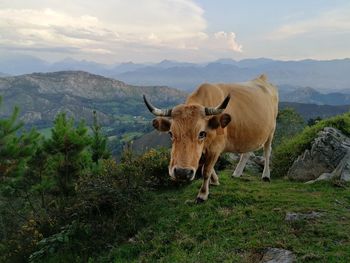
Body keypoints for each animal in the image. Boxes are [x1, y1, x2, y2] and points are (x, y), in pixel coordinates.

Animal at [144, 75, 278, 203]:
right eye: (171, 133)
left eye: (201, 133)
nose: (182, 173)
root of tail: (262, 79)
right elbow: (206, 166)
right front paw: (214, 181)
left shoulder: (216, 148)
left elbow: (206, 170)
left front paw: (203, 194)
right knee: (247, 152)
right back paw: (237, 173)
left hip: (271, 130)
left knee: (267, 151)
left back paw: (266, 175)